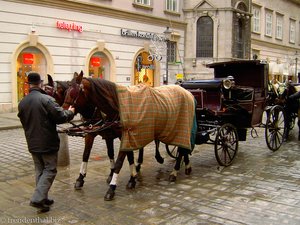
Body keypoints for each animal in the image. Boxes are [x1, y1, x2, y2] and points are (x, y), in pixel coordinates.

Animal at [62, 71, 196, 200]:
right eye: (66, 91)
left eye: (73, 92)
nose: (63, 111)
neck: (117, 106)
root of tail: (187, 93)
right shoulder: (99, 134)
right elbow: (88, 155)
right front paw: (80, 178)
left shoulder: (125, 137)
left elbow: (120, 162)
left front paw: (113, 187)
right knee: (184, 148)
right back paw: (186, 166)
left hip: (181, 128)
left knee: (182, 148)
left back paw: (175, 171)